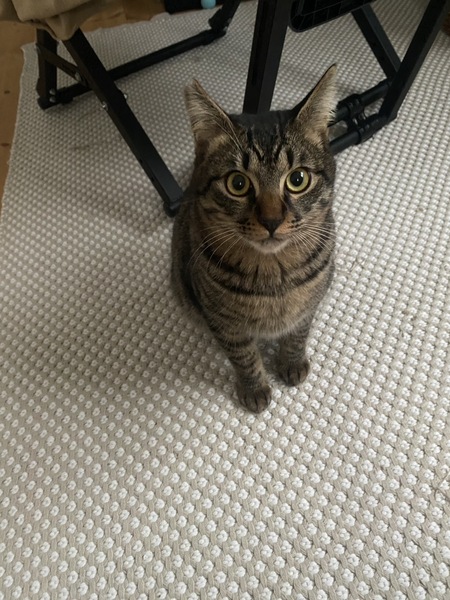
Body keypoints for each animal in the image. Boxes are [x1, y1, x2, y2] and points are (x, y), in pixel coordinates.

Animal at [171, 65, 337, 413]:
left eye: (298, 179)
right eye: (237, 183)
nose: (272, 221)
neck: (275, 272)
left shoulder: (308, 307)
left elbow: (297, 335)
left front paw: (291, 362)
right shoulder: (224, 323)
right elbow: (244, 357)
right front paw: (254, 388)